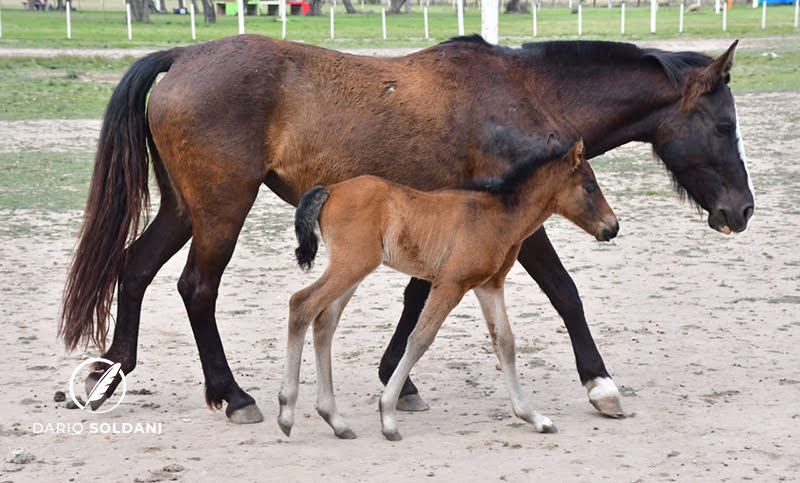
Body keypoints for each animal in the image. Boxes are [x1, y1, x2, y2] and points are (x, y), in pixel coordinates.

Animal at [276, 141, 620, 442]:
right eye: (589, 186)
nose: (612, 227)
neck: (495, 216)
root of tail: (330, 189)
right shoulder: (450, 283)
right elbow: (419, 339)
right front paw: (388, 417)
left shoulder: (488, 286)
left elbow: (505, 343)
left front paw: (534, 418)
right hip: (352, 265)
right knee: (301, 304)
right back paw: (287, 412)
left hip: (353, 270)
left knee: (324, 321)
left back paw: (335, 419)